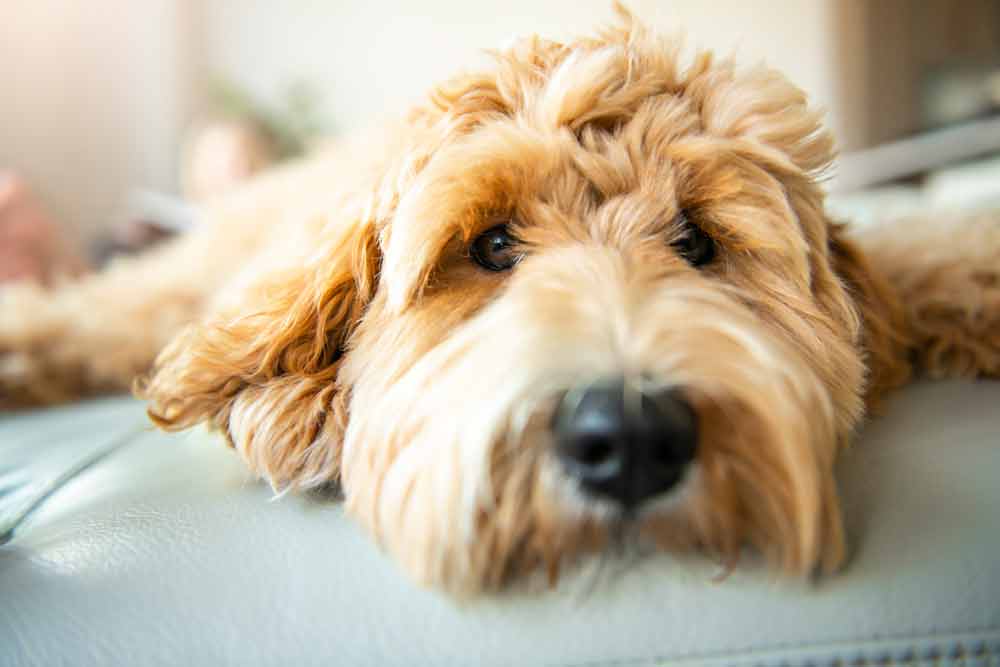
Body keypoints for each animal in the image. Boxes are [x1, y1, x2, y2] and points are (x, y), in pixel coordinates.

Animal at [1, 10, 1000, 596]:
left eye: (698, 244)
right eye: (490, 247)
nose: (630, 435)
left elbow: (939, 255)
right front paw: (297, 408)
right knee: (93, 317)